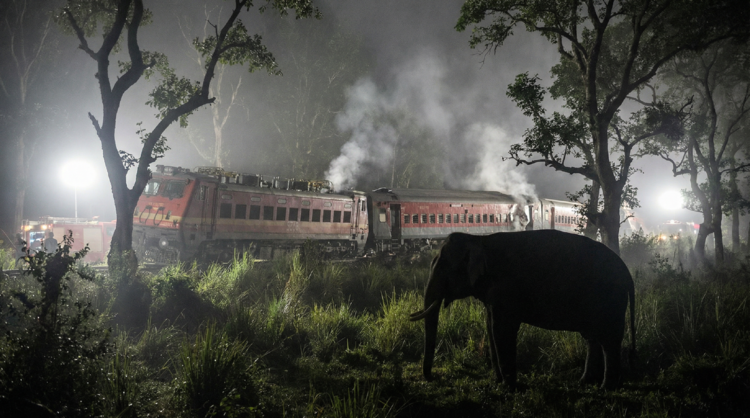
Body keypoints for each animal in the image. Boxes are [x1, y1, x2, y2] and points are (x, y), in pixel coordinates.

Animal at [410, 230, 635, 390]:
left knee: (609, 340)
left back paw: (606, 388)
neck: (479, 240)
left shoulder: (504, 288)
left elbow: (502, 329)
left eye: (443, 268)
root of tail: (627, 272)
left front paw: (509, 387)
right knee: (592, 338)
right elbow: (491, 327)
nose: (431, 378)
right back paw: (585, 383)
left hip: (610, 300)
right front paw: (498, 382)